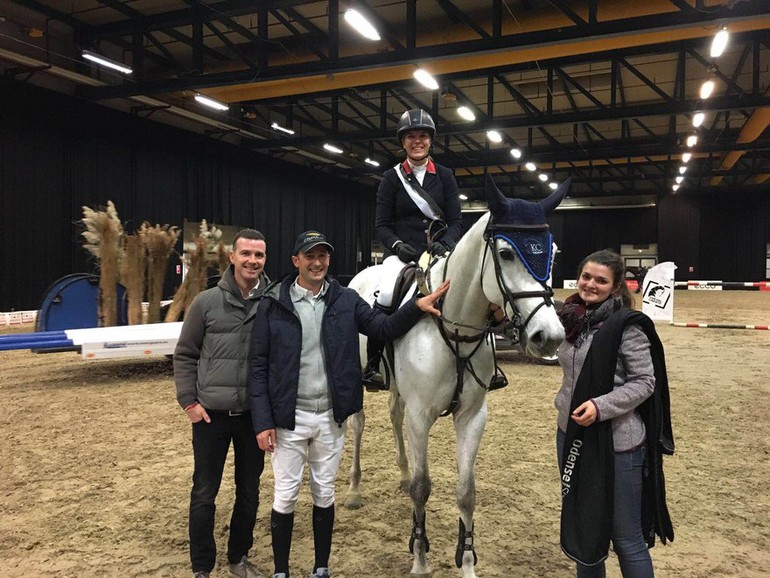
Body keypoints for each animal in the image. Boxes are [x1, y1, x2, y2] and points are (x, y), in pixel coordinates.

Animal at [344, 176, 568, 576]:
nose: (550, 336)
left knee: (394, 415)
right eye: (506, 254)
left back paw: (401, 473)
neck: (453, 323)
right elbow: (422, 488)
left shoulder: (472, 416)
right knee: (358, 424)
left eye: (553, 253)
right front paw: (419, 560)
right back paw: (354, 490)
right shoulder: (421, 416)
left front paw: (467, 563)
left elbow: (467, 493)